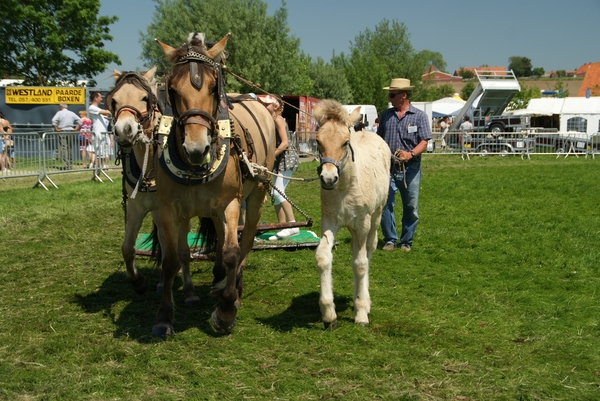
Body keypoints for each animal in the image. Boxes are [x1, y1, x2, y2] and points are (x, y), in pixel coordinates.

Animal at [155, 33, 276, 334]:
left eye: (213, 87)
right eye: (172, 89)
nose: (196, 149)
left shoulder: (230, 203)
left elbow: (232, 251)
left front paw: (226, 311)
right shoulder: (169, 209)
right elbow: (171, 260)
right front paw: (164, 317)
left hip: (255, 194)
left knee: (245, 241)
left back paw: (235, 287)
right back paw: (221, 279)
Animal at [312, 100, 392, 328]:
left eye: (345, 142)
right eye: (318, 141)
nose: (328, 178)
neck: (344, 188)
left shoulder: (362, 223)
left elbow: (360, 264)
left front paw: (361, 312)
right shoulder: (329, 220)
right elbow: (323, 256)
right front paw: (329, 314)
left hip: (376, 216)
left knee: (368, 250)